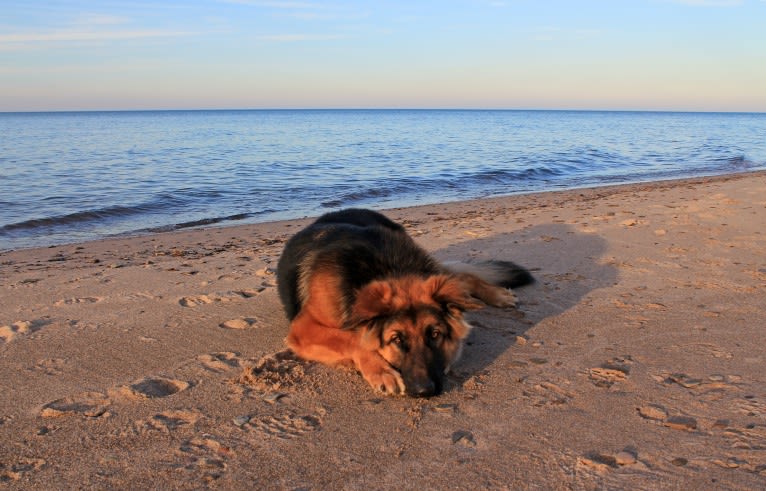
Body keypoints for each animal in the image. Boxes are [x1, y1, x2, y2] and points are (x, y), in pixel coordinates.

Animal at [276, 209, 536, 398]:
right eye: (396, 340)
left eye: (435, 334)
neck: (390, 271)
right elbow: (353, 339)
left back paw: (499, 295)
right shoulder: (303, 329)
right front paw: (381, 371)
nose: (424, 391)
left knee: (462, 276)